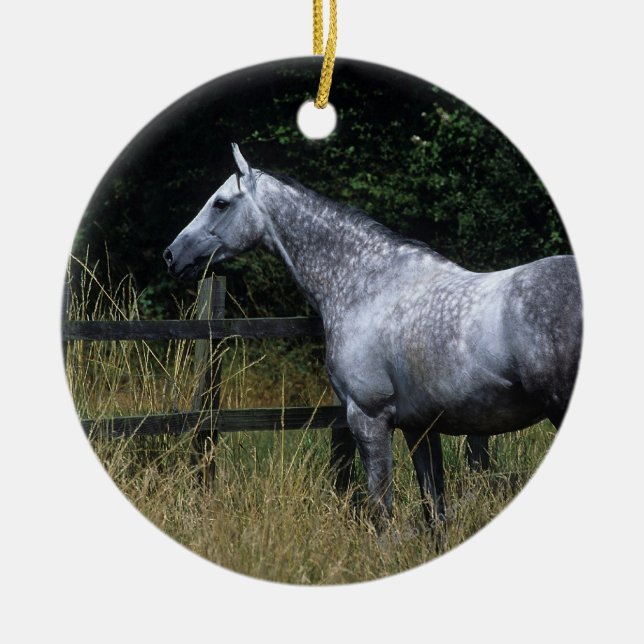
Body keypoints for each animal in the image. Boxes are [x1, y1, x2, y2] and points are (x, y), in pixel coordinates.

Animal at [164, 144, 582, 527]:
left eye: (220, 203)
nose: (171, 255)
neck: (367, 288)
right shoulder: (419, 428)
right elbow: (435, 512)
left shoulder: (369, 419)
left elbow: (382, 511)